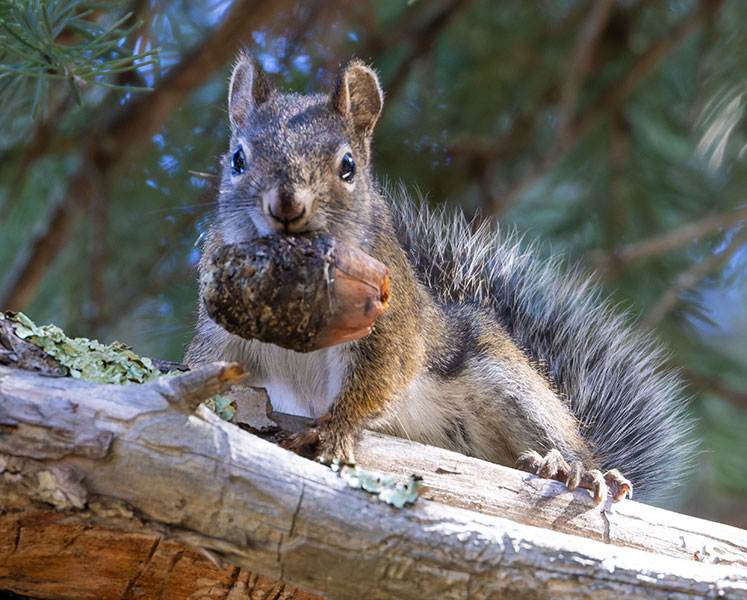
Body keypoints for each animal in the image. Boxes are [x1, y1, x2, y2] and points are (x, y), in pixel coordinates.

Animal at [185, 54, 696, 506]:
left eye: (348, 166)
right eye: (237, 159)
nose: (286, 205)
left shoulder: (390, 328)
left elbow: (376, 381)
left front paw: (335, 431)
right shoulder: (222, 335)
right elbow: (206, 367)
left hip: (507, 381)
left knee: (563, 441)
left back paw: (572, 468)